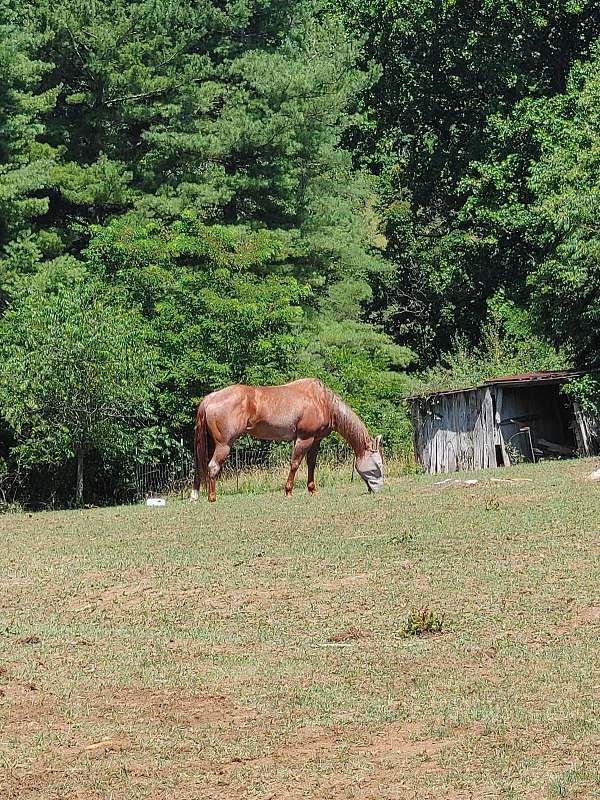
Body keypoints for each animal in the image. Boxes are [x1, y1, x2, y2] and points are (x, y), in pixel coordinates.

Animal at [190, 380, 382, 504]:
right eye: (377, 466)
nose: (378, 489)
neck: (321, 400)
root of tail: (210, 398)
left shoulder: (315, 440)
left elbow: (311, 464)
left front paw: (312, 489)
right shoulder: (304, 438)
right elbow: (295, 463)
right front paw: (289, 491)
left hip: (211, 444)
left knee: (200, 466)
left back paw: (195, 495)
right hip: (224, 445)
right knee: (213, 466)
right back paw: (212, 498)